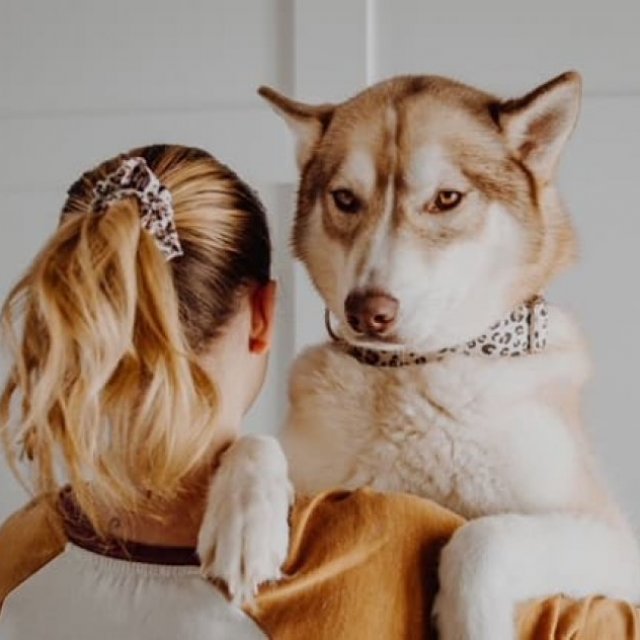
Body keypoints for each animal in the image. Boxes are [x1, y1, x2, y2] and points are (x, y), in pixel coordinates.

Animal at [198, 72, 636, 636]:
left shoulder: (614, 539)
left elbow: (482, 535)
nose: (366, 311)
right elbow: (252, 441)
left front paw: (471, 619)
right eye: (345, 199)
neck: (414, 372)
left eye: (447, 198)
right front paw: (245, 521)